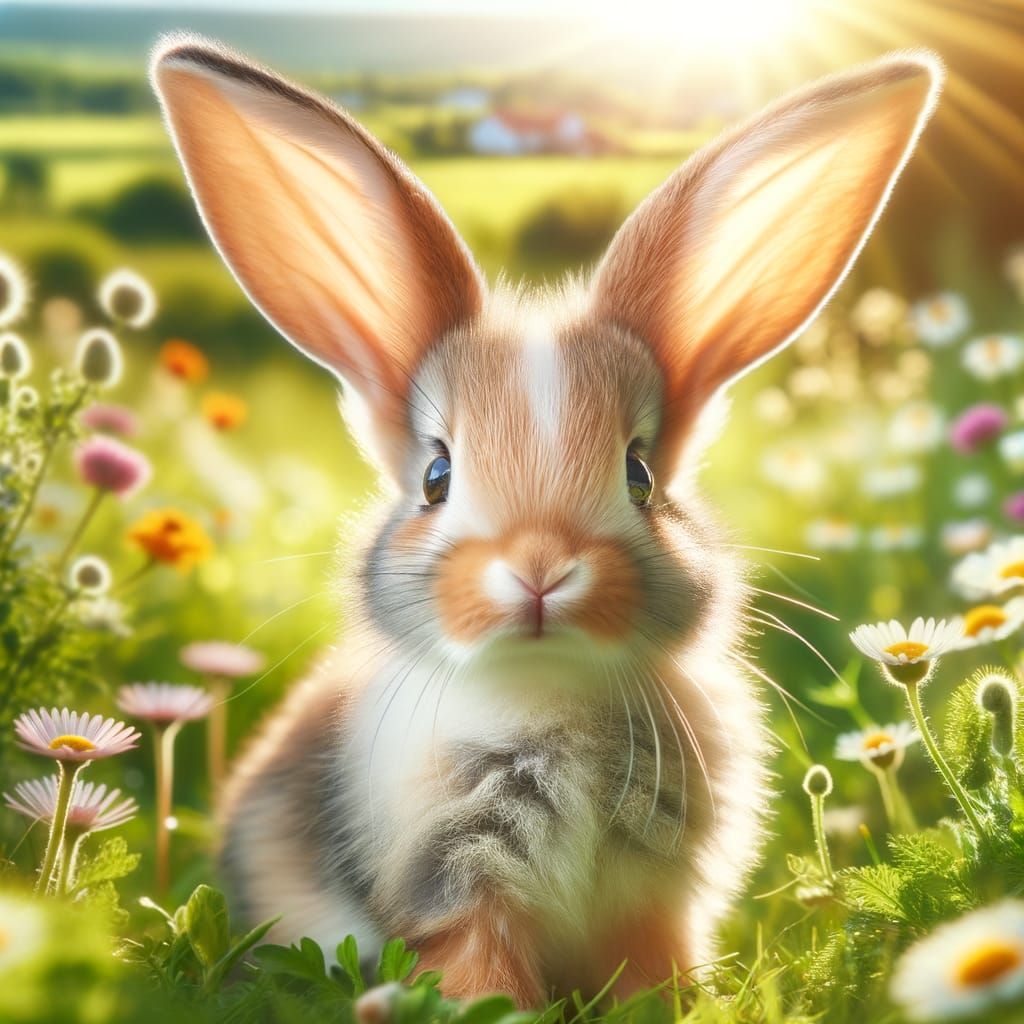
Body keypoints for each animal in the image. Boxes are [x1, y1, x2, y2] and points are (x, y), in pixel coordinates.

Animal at [151, 35, 941, 1006]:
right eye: (437, 476)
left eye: (640, 474)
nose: (539, 569)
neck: (548, 693)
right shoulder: (461, 890)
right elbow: (483, 978)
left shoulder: (651, 901)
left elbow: (649, 968)